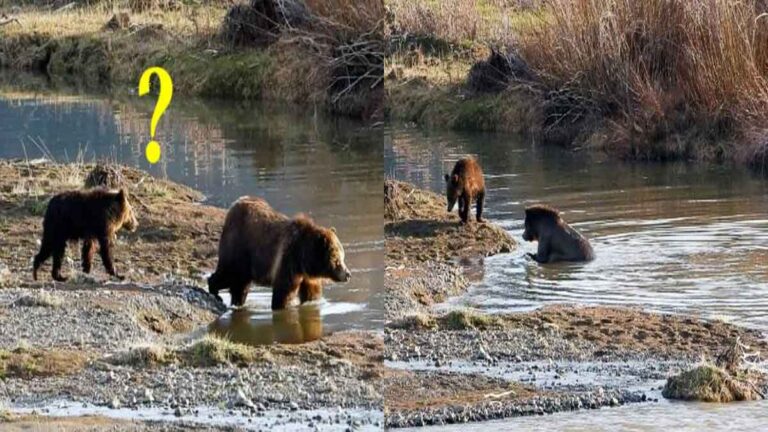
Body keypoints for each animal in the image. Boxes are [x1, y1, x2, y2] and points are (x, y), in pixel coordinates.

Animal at [207, 196, 352, 310]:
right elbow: (284, 291)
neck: (304, 258)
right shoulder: (288, 259)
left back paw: (237, 302)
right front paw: (282, 305)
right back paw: (215, 292)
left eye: (343, 257)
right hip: (240, 246)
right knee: (229, 273)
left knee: (240, 284)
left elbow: (312, 293)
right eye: (337, 259)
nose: (348, 274)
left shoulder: (307, 275)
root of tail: (234, 205)